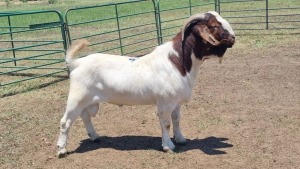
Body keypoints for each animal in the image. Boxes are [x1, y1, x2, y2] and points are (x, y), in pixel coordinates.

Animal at [56, 11, 234, 158]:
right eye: (214, 26)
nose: (233, 38)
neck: (177, 62)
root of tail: (76, 63)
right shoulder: (164, 103)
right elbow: (166, 123)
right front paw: (168, 146)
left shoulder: (176, 102)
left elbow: (176, 119)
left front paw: (180, 139)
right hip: (77, 97)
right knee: (65, 121)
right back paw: (62, 149)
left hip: (88, 100)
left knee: (85, 116)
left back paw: (94, 136)